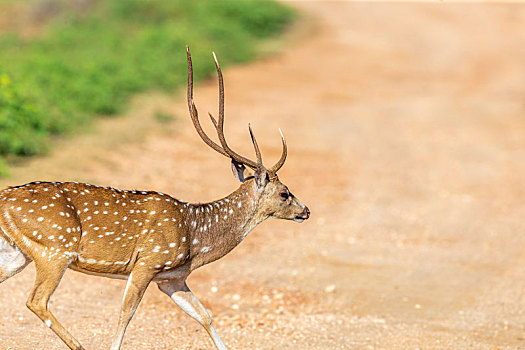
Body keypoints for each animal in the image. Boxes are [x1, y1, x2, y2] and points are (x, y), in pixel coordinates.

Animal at [0, 45, 308, 350]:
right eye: (285, 192)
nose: (306, 210)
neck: (196, 239)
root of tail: (4, 196)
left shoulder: (172, 278)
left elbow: (204, 316)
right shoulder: (148, 261)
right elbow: (126, 312)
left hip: (17, 253)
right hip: (54, 248)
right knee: (36, 300)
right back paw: (79, 345)